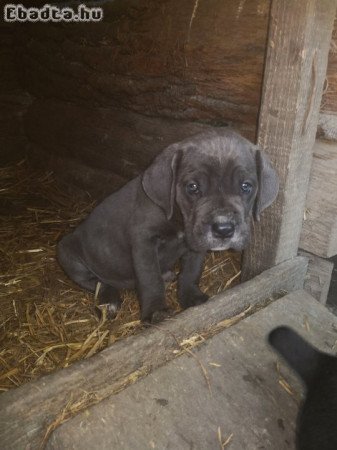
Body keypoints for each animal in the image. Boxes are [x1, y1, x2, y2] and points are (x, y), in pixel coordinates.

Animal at [57, 128, 278, 322]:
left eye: (246, 186)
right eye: (192, 187)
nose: (224, 229)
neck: (178, 219)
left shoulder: (196, 243)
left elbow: (192, 271)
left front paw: (191, 297)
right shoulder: (144, 243)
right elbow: (150, 279)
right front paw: (156, 312)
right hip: (67, 255)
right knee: (98, 283)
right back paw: (109, 301)